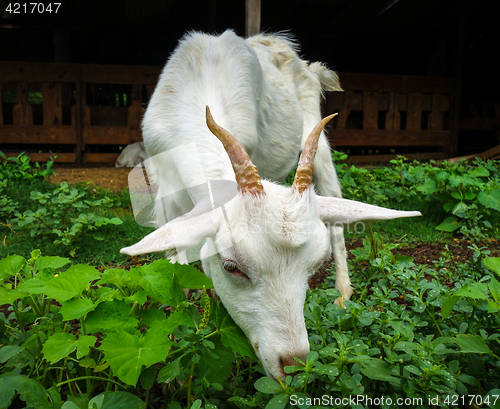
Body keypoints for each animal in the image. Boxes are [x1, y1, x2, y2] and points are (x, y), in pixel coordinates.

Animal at [121, 31, 422, 380]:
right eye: (231, 266)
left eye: (316, 265)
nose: (292, 364)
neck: (203, 87)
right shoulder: (165, 193)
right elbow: (175, 269)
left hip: (317, 140)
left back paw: (343, 293)